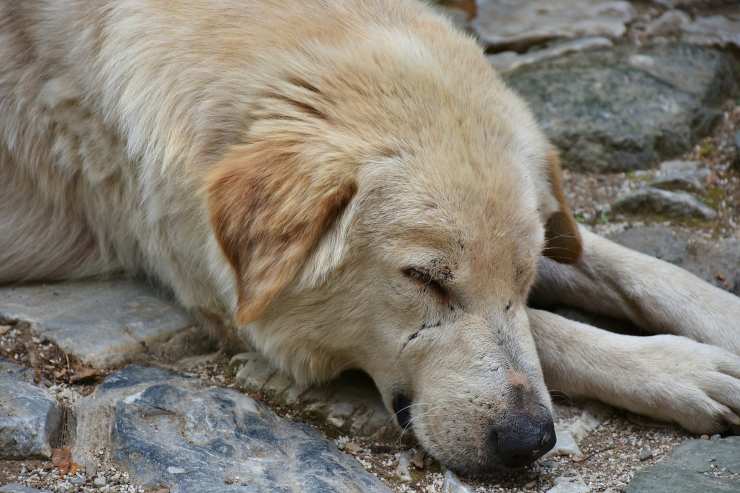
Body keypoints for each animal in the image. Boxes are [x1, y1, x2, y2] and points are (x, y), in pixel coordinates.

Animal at [1, 0, 740, 474]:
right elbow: (557, 333)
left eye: (526, 276)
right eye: (424, 278)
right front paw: (675, 368)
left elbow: (627, 265)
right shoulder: (213, 288)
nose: (532, 440)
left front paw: (720, 320)